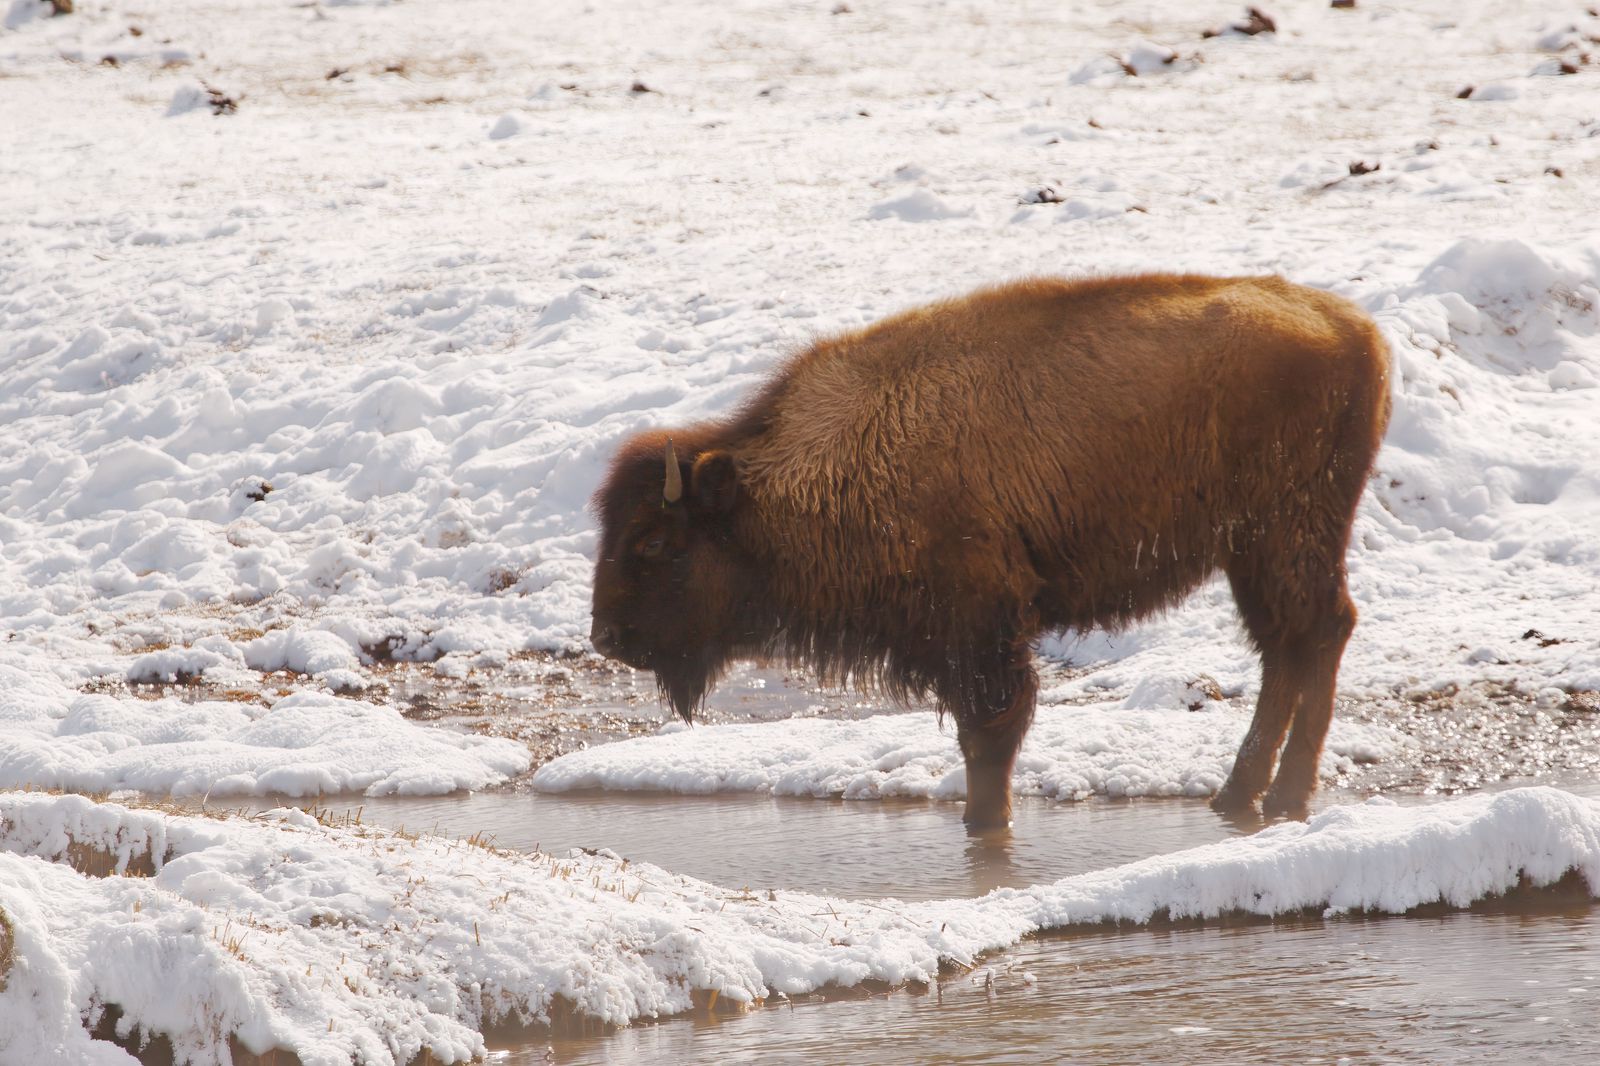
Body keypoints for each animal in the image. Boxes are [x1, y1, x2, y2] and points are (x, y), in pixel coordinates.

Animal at [590, 274, 1390, 829]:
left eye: (654, 541)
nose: (606, 636)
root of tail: (1358, 331)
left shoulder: (981, 634)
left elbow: (989, 739)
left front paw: (986, 829)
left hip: (1284, 537)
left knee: (1315, 634)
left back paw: (1279, 799)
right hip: (1255, 552)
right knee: (1288, 648)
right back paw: (1241, 797)